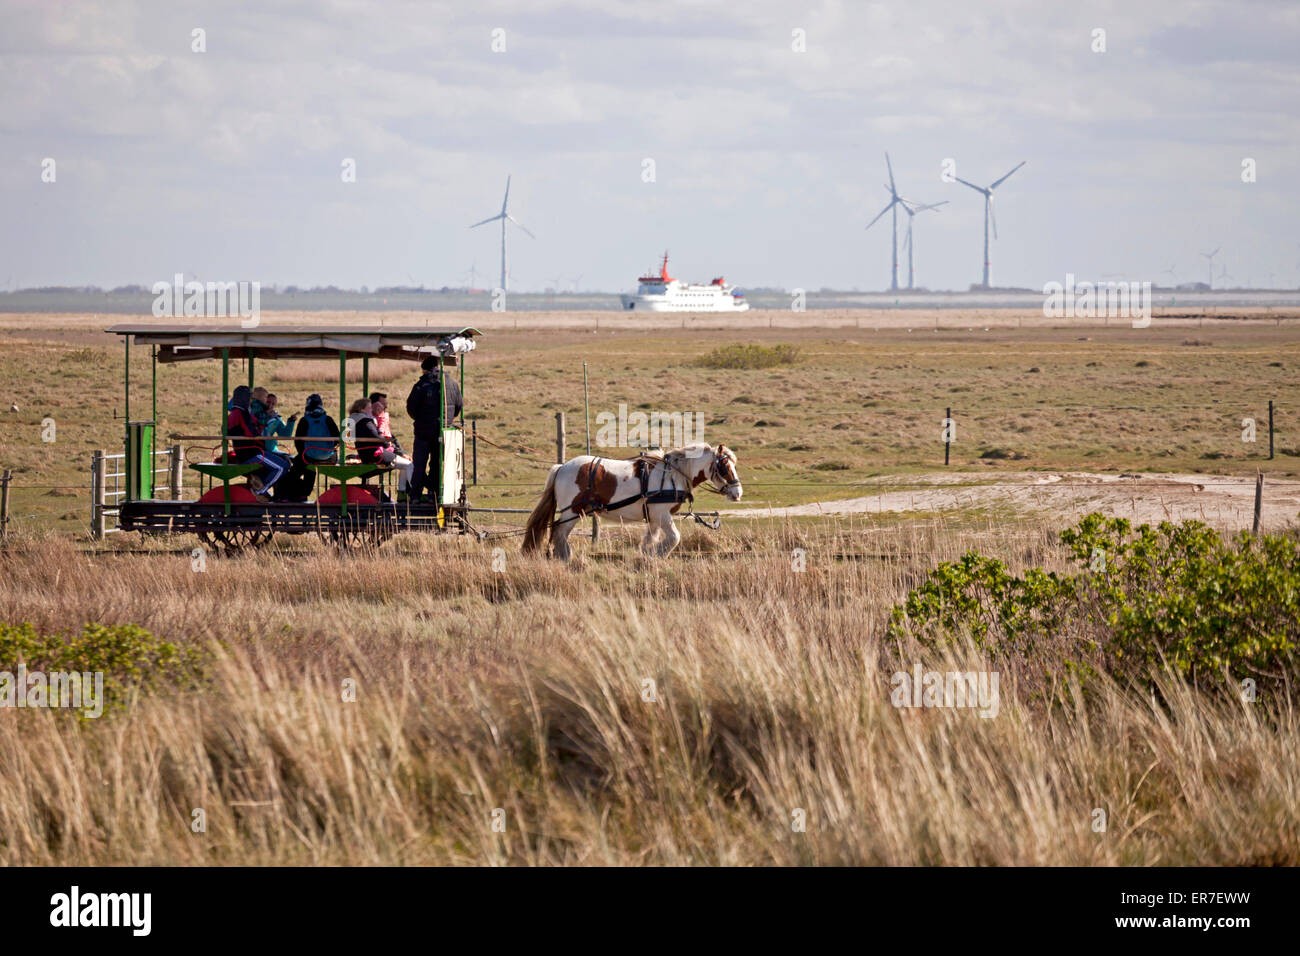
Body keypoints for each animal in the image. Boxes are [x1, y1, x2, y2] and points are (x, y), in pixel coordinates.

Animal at [521, 442, 742, 560]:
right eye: (724, 467)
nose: (737, 493)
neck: (673, 474)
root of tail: (562, 467)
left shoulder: (653, 517)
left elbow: (650, 539)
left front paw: (647, 555)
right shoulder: (662, 514)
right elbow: (675, 537)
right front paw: (658, 554)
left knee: (558, 532)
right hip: (572, 511)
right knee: (559, 532)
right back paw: (567, 557)